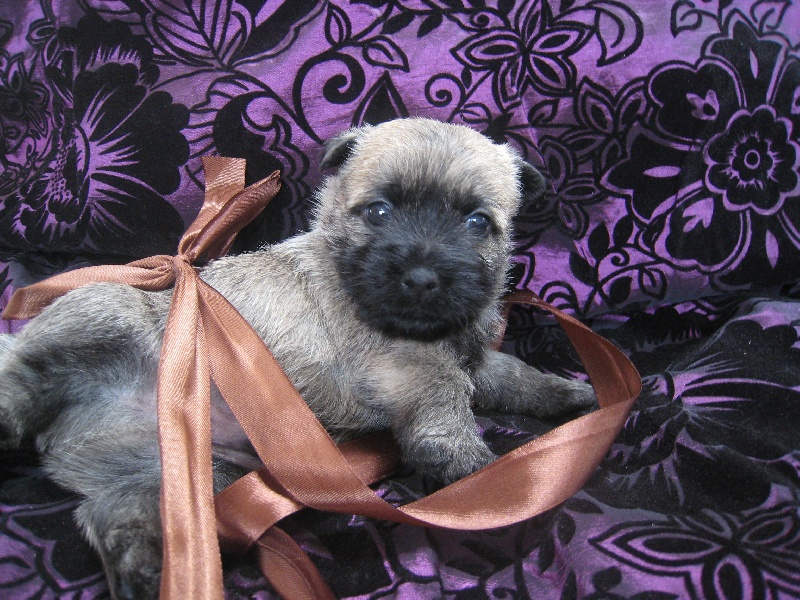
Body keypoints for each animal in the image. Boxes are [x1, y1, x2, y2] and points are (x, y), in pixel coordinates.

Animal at [0, 118, 595, 598]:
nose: (423, 277)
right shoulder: (406, 363)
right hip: (105, 318)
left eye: (477, 223)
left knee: (114, 517)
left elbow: (518, 377)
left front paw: (571, 393)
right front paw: (467, 464)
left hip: (169, 476)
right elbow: (444, 395)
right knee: (23, 371)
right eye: (379, 211)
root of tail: (63, 438)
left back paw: (147, 573)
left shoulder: (477, 363)